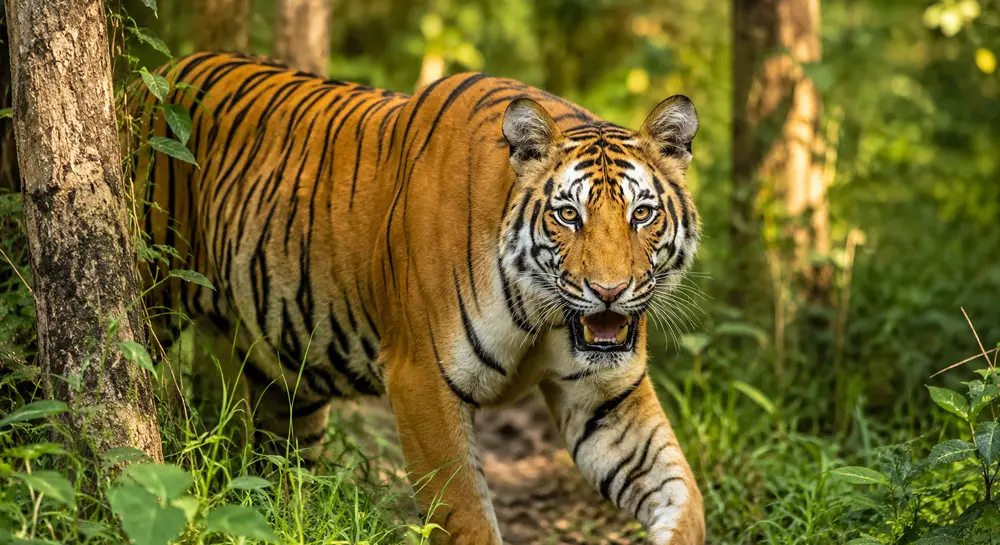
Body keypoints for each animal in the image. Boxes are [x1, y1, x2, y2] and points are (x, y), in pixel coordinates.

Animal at [132, 51, 706, 545]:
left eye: (642, 214)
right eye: (568, 215)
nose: (609, 292)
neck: (541, 311)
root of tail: (159, 71)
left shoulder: (606, 398)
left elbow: (684, 498)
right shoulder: (422, 380)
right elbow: (465, 516)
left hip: (284, 380)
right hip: (155, 295)